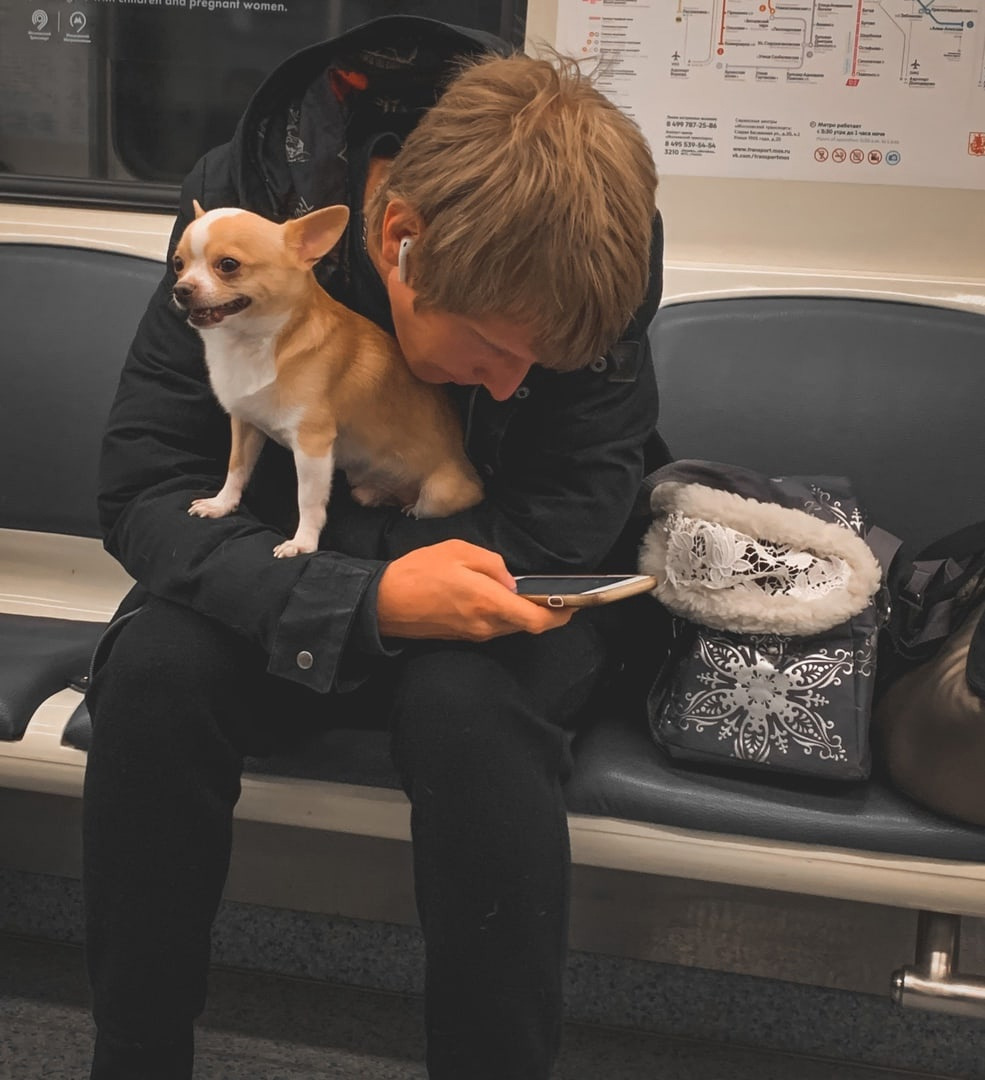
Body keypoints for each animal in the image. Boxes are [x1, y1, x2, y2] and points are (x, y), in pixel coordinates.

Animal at [171, 202, 483, 558]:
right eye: (178, 264)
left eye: (228, 265)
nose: (180, 289)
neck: (253, 343)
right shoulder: (245, 424)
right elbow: (236, 467)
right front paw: (221, 504)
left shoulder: (313, 446)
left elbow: (308, 500)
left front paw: (302, 542)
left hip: (438, 494)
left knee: (422, 505)